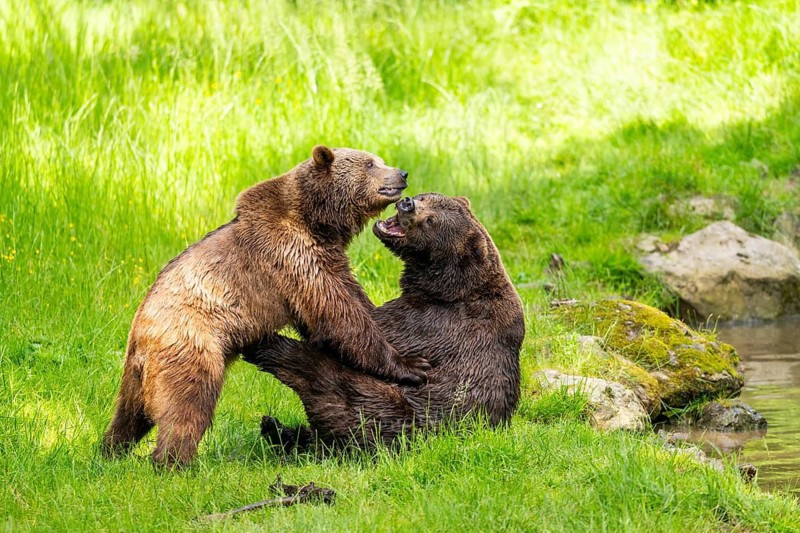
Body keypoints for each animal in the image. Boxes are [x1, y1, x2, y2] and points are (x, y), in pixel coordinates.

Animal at [103, 146, 430, 468]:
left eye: (378, 160)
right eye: (370, 164)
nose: (401, 174)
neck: (317, 221)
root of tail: (141, 332)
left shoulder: (325, 257)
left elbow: (340, 306)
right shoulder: (291, 256)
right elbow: (339, 315)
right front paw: (412, 366)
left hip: (136, 373)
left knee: (129, 414)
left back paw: (111, 449)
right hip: (192, 342)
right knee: (188, 402)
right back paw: (174, 461)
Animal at [242, 193, 525, 450]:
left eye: (430, 221)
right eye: (426, 197)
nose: (407, 203)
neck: (449, 285)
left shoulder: (433, 321)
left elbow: (364, 329)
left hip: (392, 408)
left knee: (322, 375)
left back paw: (266, 351)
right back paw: (277, 428)